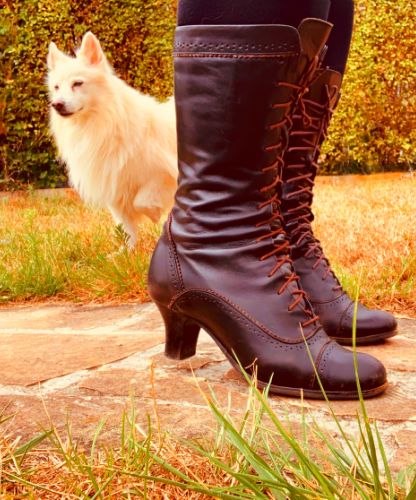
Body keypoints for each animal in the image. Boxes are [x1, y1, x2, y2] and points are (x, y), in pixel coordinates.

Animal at [47, 32, 178, 250]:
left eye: (77, 84)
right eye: (56, 87)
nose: (56, 104)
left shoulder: (163, 173)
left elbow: (142, 200)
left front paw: (153, 213)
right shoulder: (114, 185)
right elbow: (126, 227)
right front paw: (126, 252)